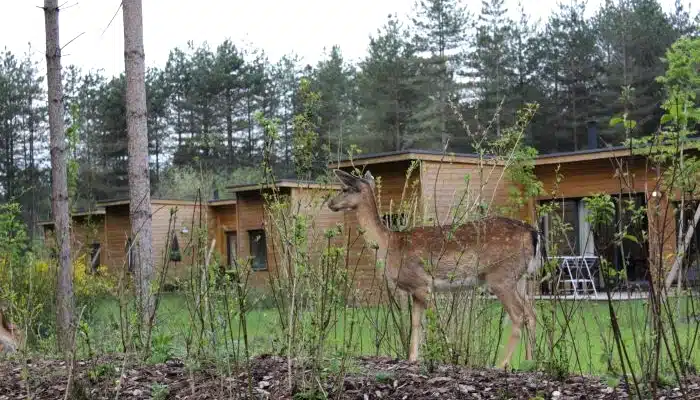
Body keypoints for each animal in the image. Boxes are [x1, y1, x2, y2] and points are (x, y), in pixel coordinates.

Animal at [328, 168, 548, 368]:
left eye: (344, 188)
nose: (330, 203)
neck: (389, 246)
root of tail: (533, 233)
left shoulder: (422, 284)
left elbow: (435, 323)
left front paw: (448, 355)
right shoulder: (415, 291)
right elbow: (416, 324)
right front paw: (413, 358)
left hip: (500, 276)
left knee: (518, 316)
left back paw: (501, 365)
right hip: (519, 278)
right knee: (531, 314)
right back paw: (531, 362)